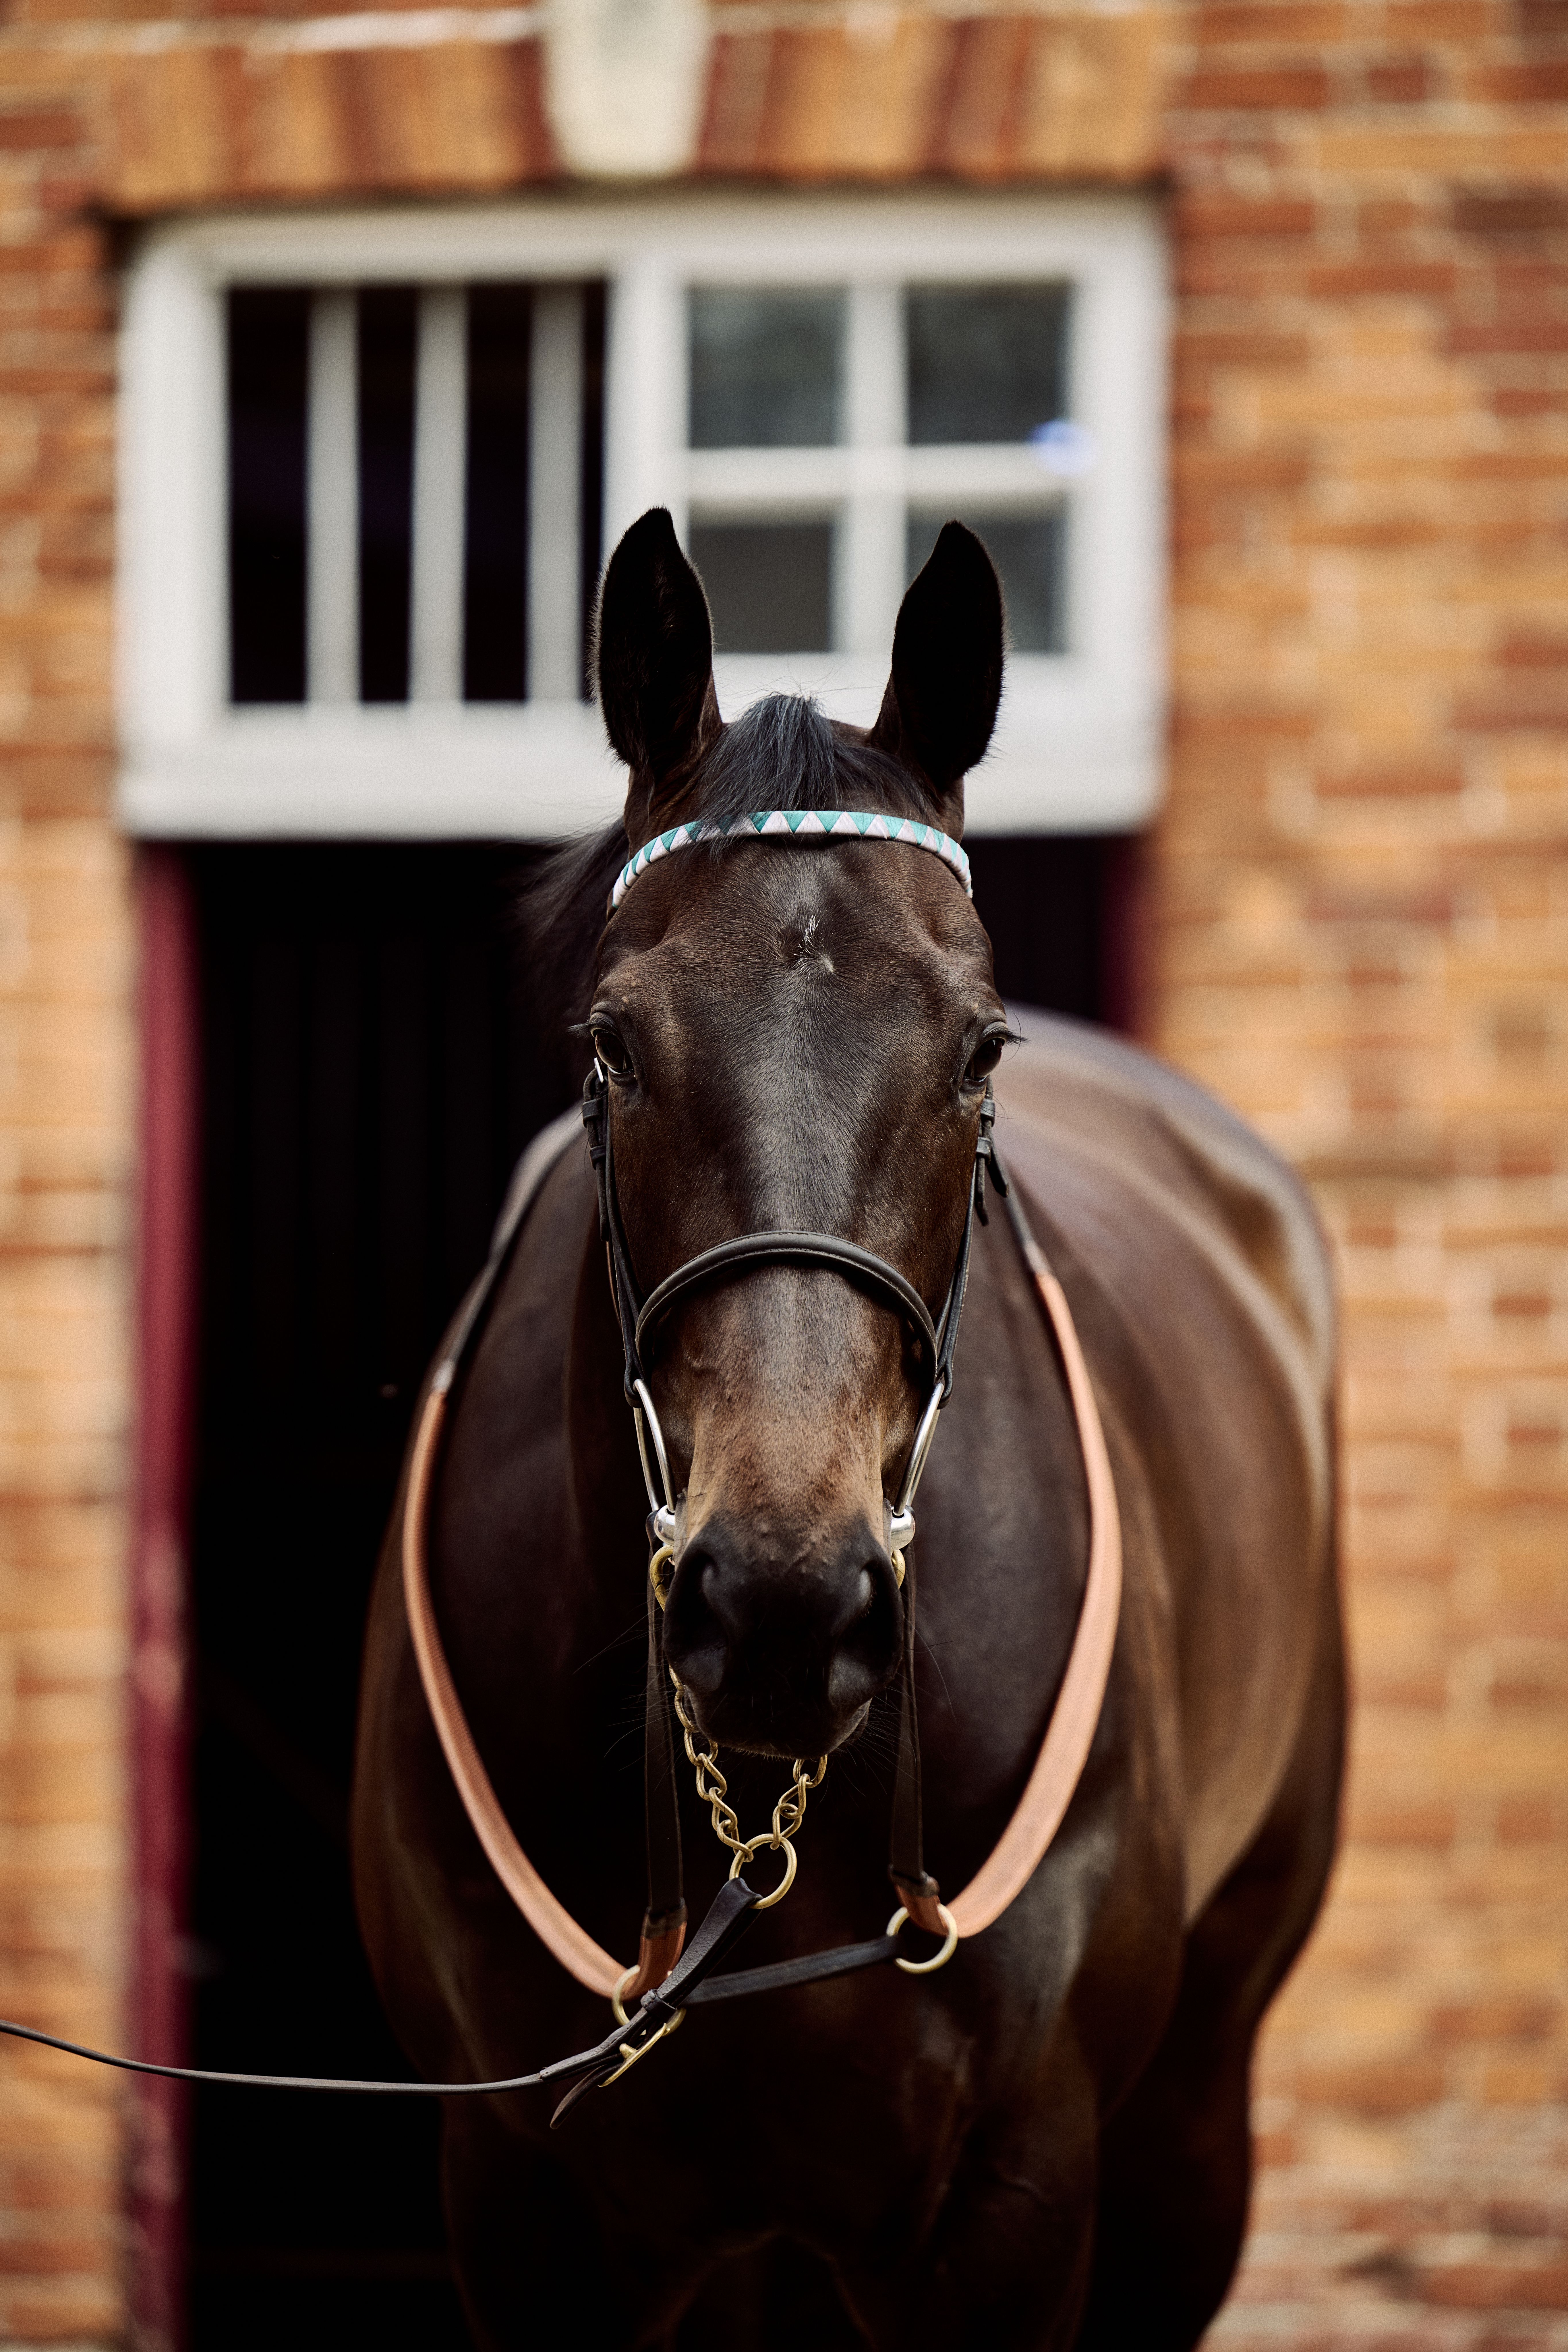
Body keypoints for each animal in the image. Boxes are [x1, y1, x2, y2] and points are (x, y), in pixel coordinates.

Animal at [350, 508, 1344, 2350]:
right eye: (613, 1042)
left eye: (978, 1047)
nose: (780, 1604)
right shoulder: (524, 2203)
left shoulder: (1019, 2197)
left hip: (1195, 2112)